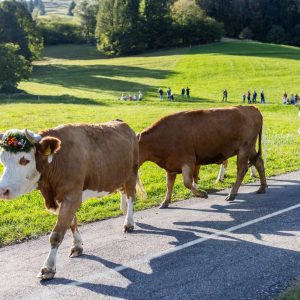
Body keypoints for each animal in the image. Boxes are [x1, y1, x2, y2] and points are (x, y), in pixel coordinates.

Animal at [0, 120, 139, 280]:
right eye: (2, 160)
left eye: (25, 160)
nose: (3, 190)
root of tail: (120, 122)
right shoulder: (61, 199)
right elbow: (72, 222)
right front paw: (77, 246)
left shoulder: (72, 197)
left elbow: (56, 235)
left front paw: (48, 268)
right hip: (119, 174)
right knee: (123, 192)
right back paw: (124, 212)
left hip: (132, 172)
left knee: (131, 196)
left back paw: (129, 223)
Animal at [138, 104, 268, 207]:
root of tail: (251, 107)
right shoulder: (170, 166)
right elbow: (169, 185)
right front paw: (165, 202)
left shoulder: (188, 161)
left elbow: (187, 182)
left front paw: (201, 194)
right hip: (250, 148)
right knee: (259, 162)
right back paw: (262, 187)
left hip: (244, 149)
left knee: (241, 170)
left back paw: (232, 194)